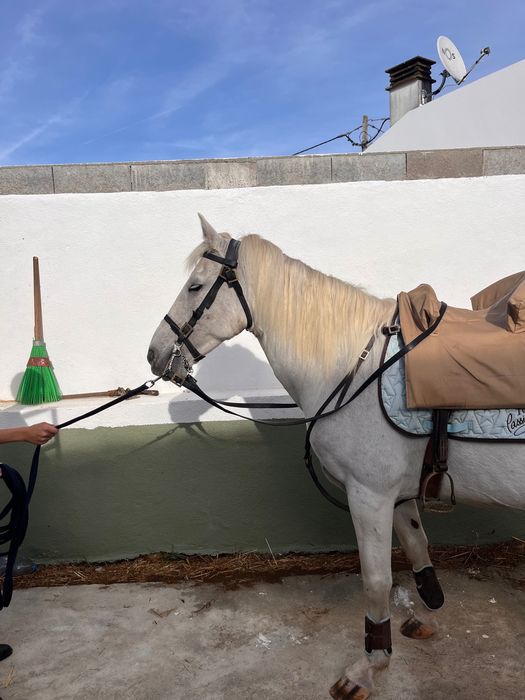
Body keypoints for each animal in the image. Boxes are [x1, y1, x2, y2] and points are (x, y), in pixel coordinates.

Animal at [147, 215, 525, 699]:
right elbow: (417, 547)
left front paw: (368, 667)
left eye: (195, 287)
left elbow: (377, 579)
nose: (155, 354)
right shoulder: (396, 496)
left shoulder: (369, 496)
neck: (353, 367)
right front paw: (420, 617)